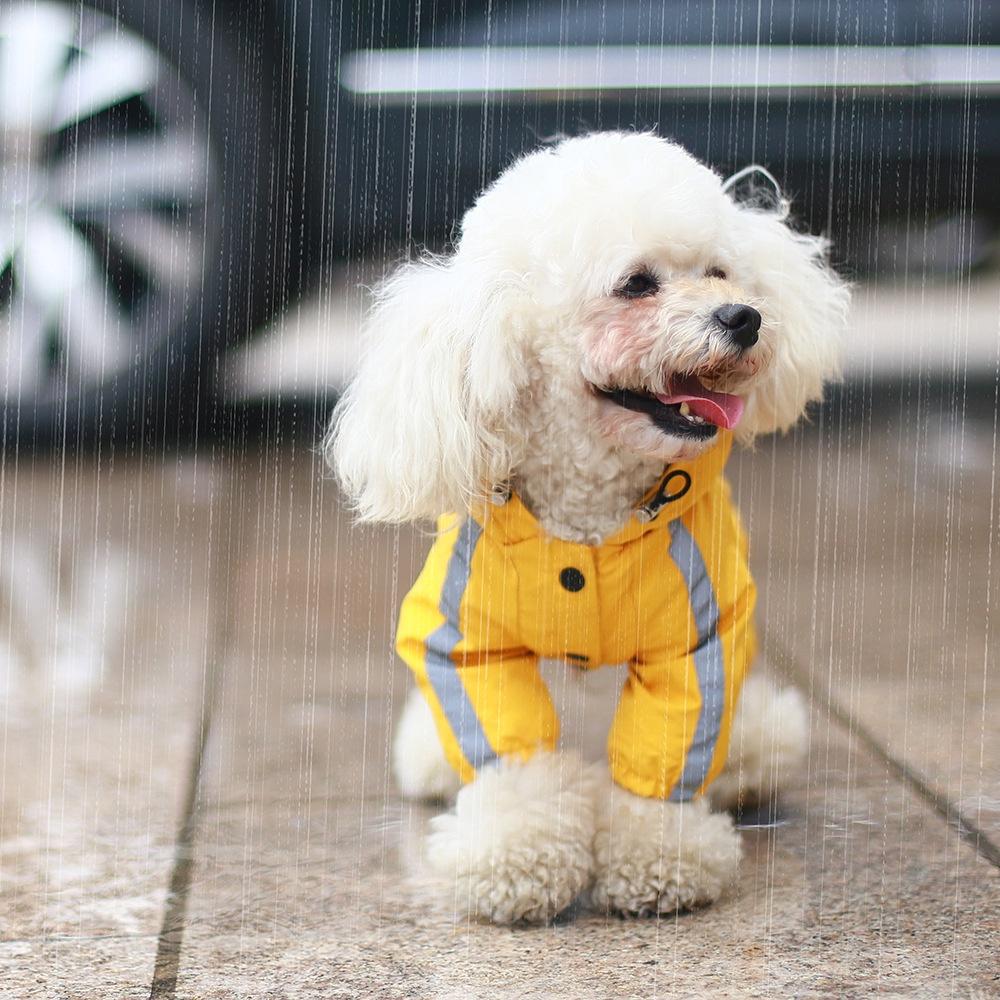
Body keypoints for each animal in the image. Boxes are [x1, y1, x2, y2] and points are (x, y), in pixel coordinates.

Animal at [328, 131, 852, 920]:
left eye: (719, 271)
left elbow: (669, 741)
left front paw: (656, 855)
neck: (590, 518)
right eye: (637, 284)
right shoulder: (464, 637)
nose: (745, 317)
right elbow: (509, 747)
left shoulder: (697, 636)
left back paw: (749, 758)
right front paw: (517, 855)